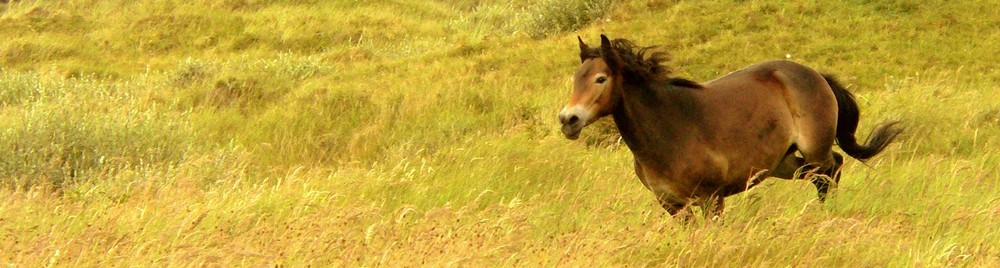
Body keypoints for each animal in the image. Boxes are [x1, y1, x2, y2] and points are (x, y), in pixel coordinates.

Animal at [560, 34, 904, 218]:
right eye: (576, 78)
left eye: (600, 79)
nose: (568, 120)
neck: (669, 129)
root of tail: (814, 74)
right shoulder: (673, 206)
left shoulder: (711, 199)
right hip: (783, 163)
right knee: (828, 170)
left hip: (814, 150)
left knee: (829, 172)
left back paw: (827, 214)